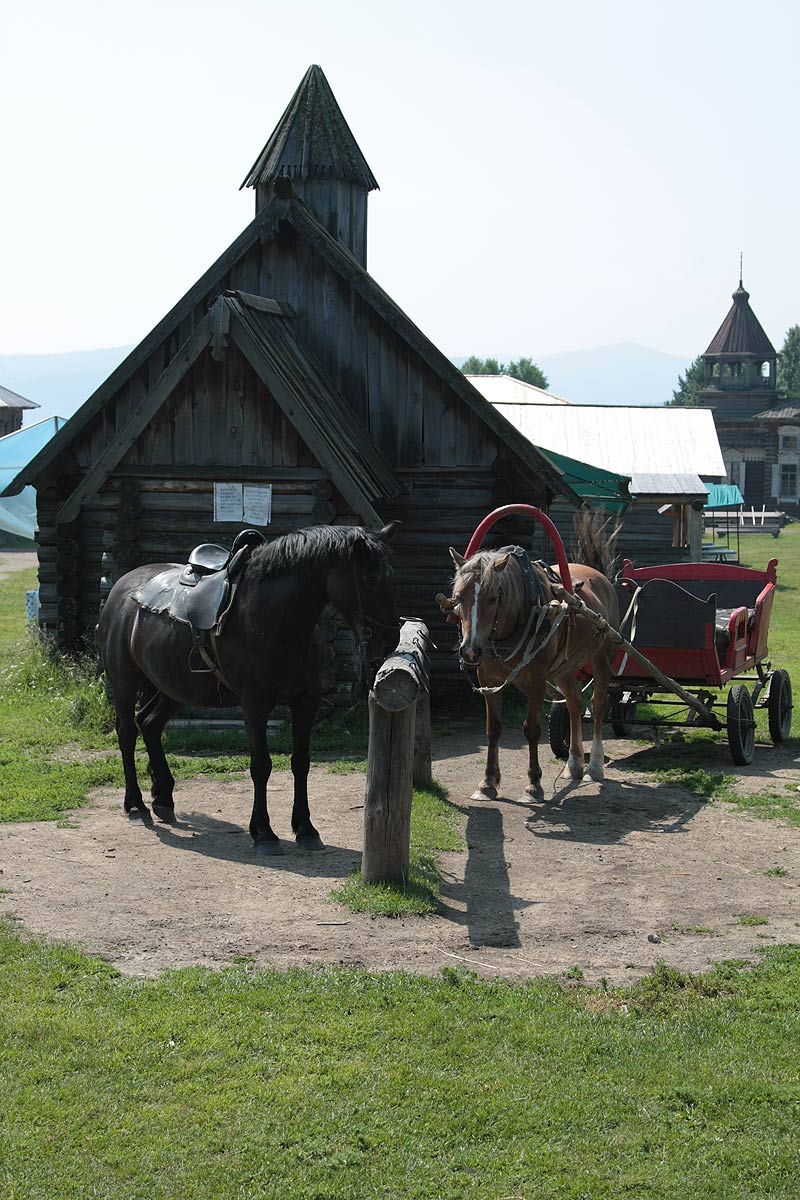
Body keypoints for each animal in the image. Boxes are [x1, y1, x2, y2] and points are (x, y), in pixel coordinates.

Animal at [97, 523, 399, 854]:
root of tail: (123, 587)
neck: (275, 618)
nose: (390, 642)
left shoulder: (307, 700)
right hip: (124, 681)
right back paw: (136, 805)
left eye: (390, 576)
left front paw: (305, 828)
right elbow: (261, 766)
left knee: (149, 723)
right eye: (370, 579)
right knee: (127, 733)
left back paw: (163, 798)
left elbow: (301, 762)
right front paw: (264, 832)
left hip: (173, 688)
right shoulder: (255, 703)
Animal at [436, 517, 619, 803]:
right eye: (459, 597)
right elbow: (493, 728)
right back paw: (574, 764)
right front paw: (487, 783)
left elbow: (532, 728)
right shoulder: (488, 679)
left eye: (493, 598)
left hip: (602, 657)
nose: (470, 650)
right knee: (574, 702)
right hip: (563, 669)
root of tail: (600, 577)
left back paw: (594, 766)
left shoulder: (535, 679)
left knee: (598, 705)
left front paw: (534, 784)